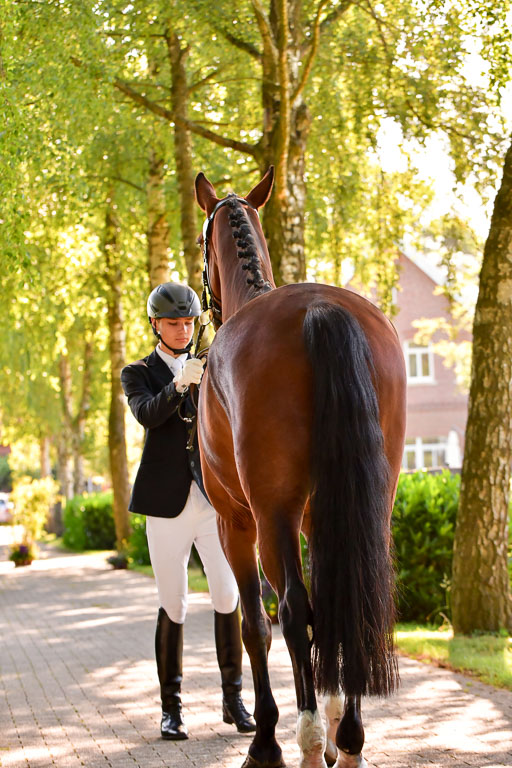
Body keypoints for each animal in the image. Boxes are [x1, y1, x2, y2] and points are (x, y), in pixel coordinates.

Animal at [194, 167, 406, 768]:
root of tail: (318, 309)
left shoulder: (236, 523)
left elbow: (255, 626)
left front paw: (268, 740)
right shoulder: (322, 515)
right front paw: (335, 726)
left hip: (272, 515)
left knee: (291, 611)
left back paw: (308, 739)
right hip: (371, 501)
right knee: (354, 604)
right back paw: (348, 740)